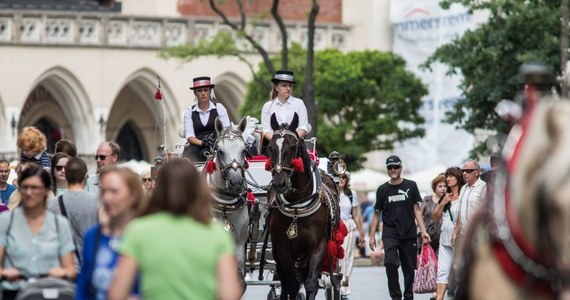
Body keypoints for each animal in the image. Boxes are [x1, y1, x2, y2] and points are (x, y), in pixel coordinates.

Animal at [266, 113, 338, 300]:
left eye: (293, 147)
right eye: (270, 147)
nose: (279, 183)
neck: (297, 209)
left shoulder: (319, 246)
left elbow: (311, 283)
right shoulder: (283, 249)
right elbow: (291, 284)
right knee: (284, 281)